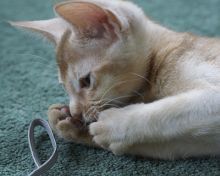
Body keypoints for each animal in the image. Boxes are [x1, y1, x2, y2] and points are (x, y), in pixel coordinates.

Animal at [11, 0, 220, 160]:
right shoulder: (194, 144)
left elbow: (172, 111)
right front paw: (68, 125)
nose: (75, 112)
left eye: (86, 81)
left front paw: (114, 124)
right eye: (64, 87)